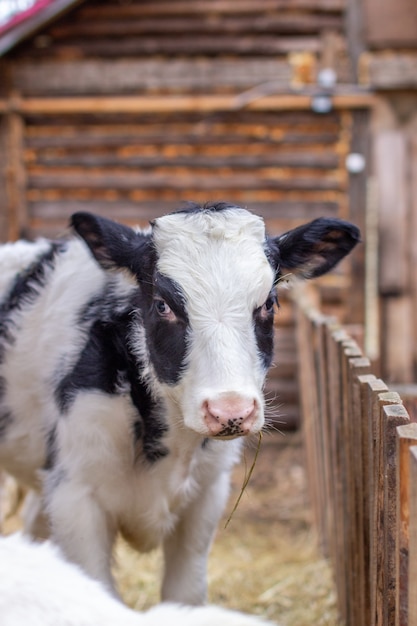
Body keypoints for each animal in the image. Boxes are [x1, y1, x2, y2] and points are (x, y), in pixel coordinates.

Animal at [0, 202, 358, 604]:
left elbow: (185, 594)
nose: (230, 410)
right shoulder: (74, 494)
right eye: (162, 305)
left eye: (268, 303)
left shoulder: (207, 494)